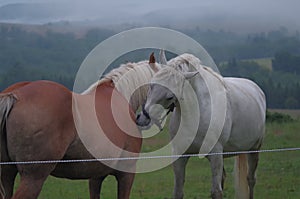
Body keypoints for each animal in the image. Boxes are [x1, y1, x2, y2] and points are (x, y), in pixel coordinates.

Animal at [0, 56, 158, 198]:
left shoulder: (95, 176)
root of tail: (14, 95)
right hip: (33, 178)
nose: (145, 119)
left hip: (7, 174)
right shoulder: (126, 173)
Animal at [136, 52, 264, 199]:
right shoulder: (180, 155)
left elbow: (216, 192)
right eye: (151, 85)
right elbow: (178, 191)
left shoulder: (215, 154)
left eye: (170, 96)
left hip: (254, 150)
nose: (143, 119)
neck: (195, 115)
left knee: (251, 179)